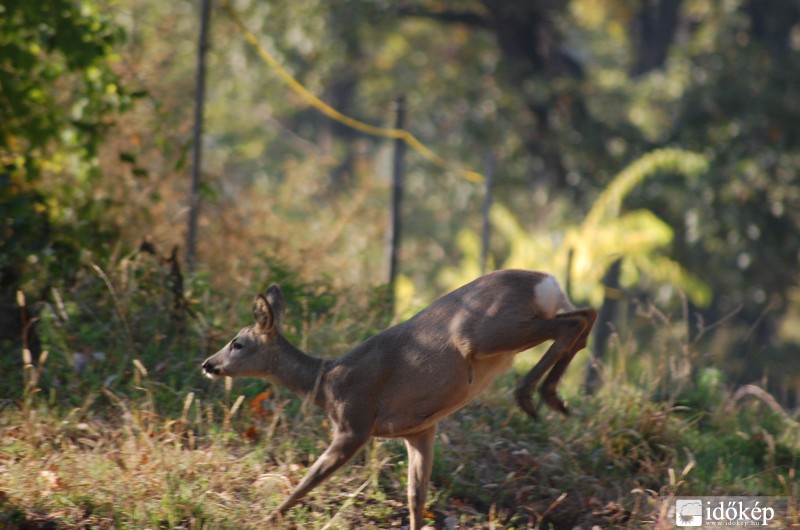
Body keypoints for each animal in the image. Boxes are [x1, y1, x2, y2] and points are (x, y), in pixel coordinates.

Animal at [203, 270, 596, 524]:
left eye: (238, 343)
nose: (209, 364)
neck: (327, 384)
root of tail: (546, 281)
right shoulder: (420, 430)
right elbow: (415, 497)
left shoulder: (356, 422)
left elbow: (310, 477)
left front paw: (269, 517)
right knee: (585, 316)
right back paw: (553, 397)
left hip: (486, 332)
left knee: (571, 324)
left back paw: (532, 394)